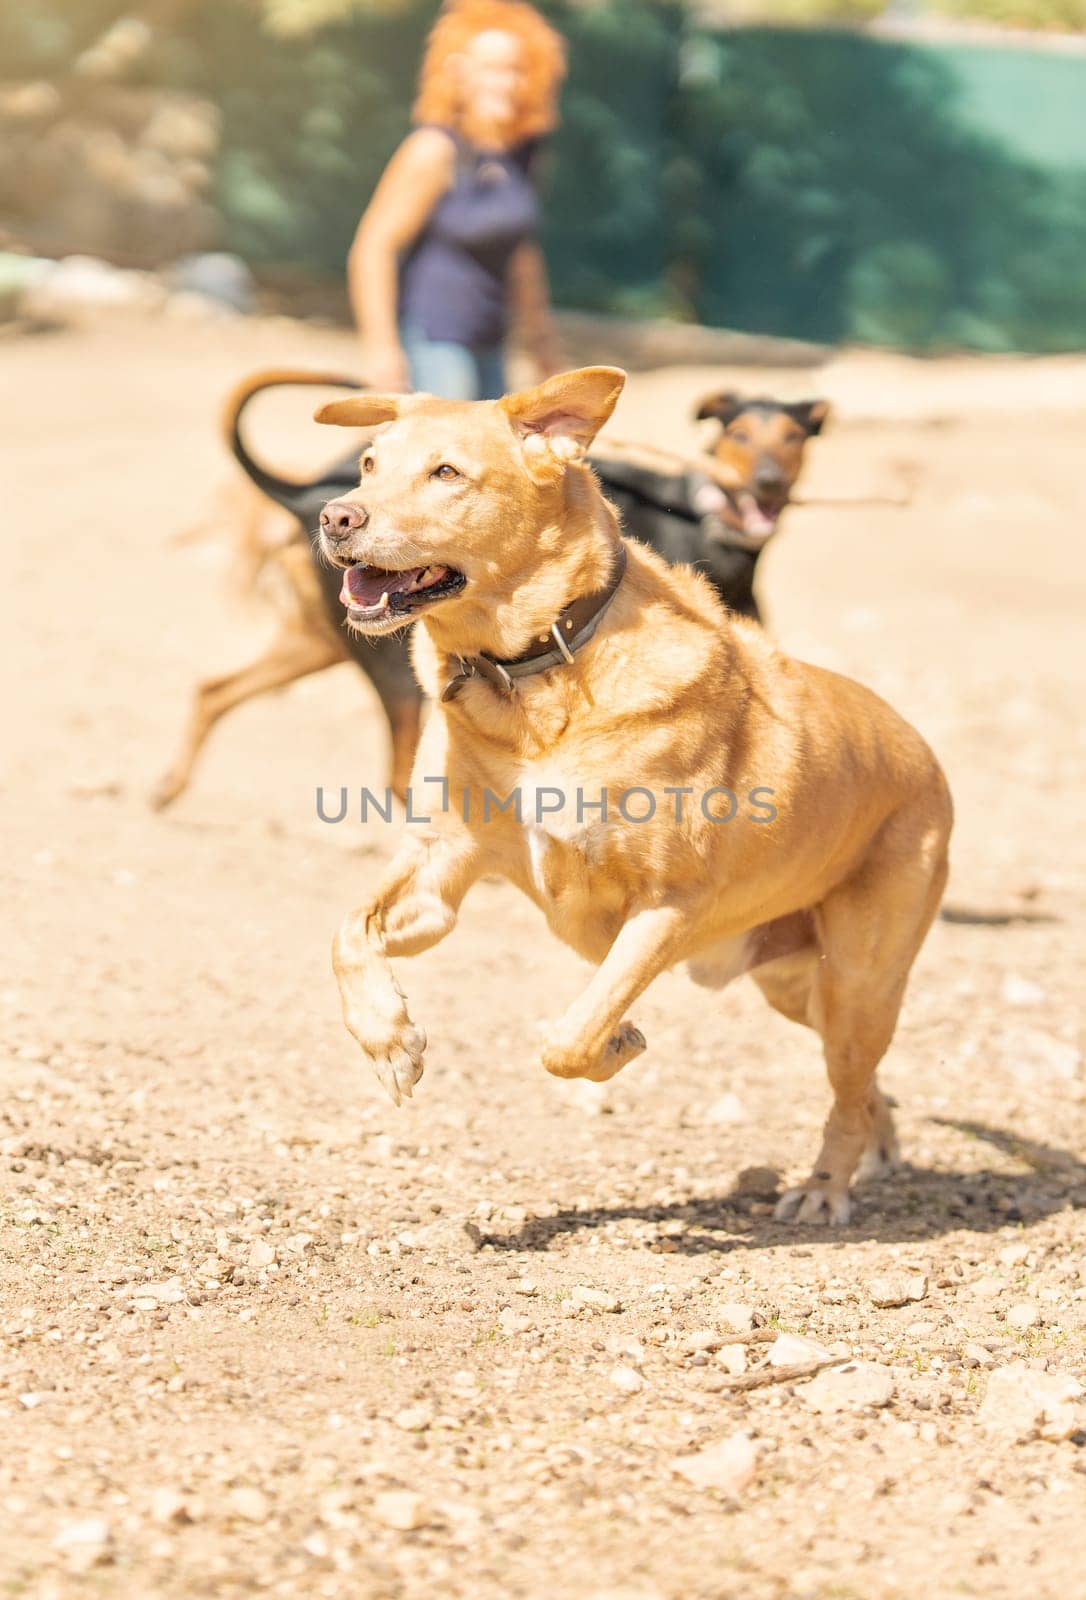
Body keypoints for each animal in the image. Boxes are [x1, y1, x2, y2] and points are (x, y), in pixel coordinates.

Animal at [316, 368, 953, 1222]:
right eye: (367, 464)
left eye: (446, 473)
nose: (334, 517)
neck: (539, 673)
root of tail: (923, 753)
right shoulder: (441, 867)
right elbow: (347, 932)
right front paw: (390, 1041)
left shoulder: (668, 905)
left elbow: (572, 1037)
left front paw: (617, 1039)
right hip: (794, 985)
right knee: (862, 1083)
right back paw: (877, 1152)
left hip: (858, 978)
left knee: (849, 1084)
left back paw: (825, 1189)